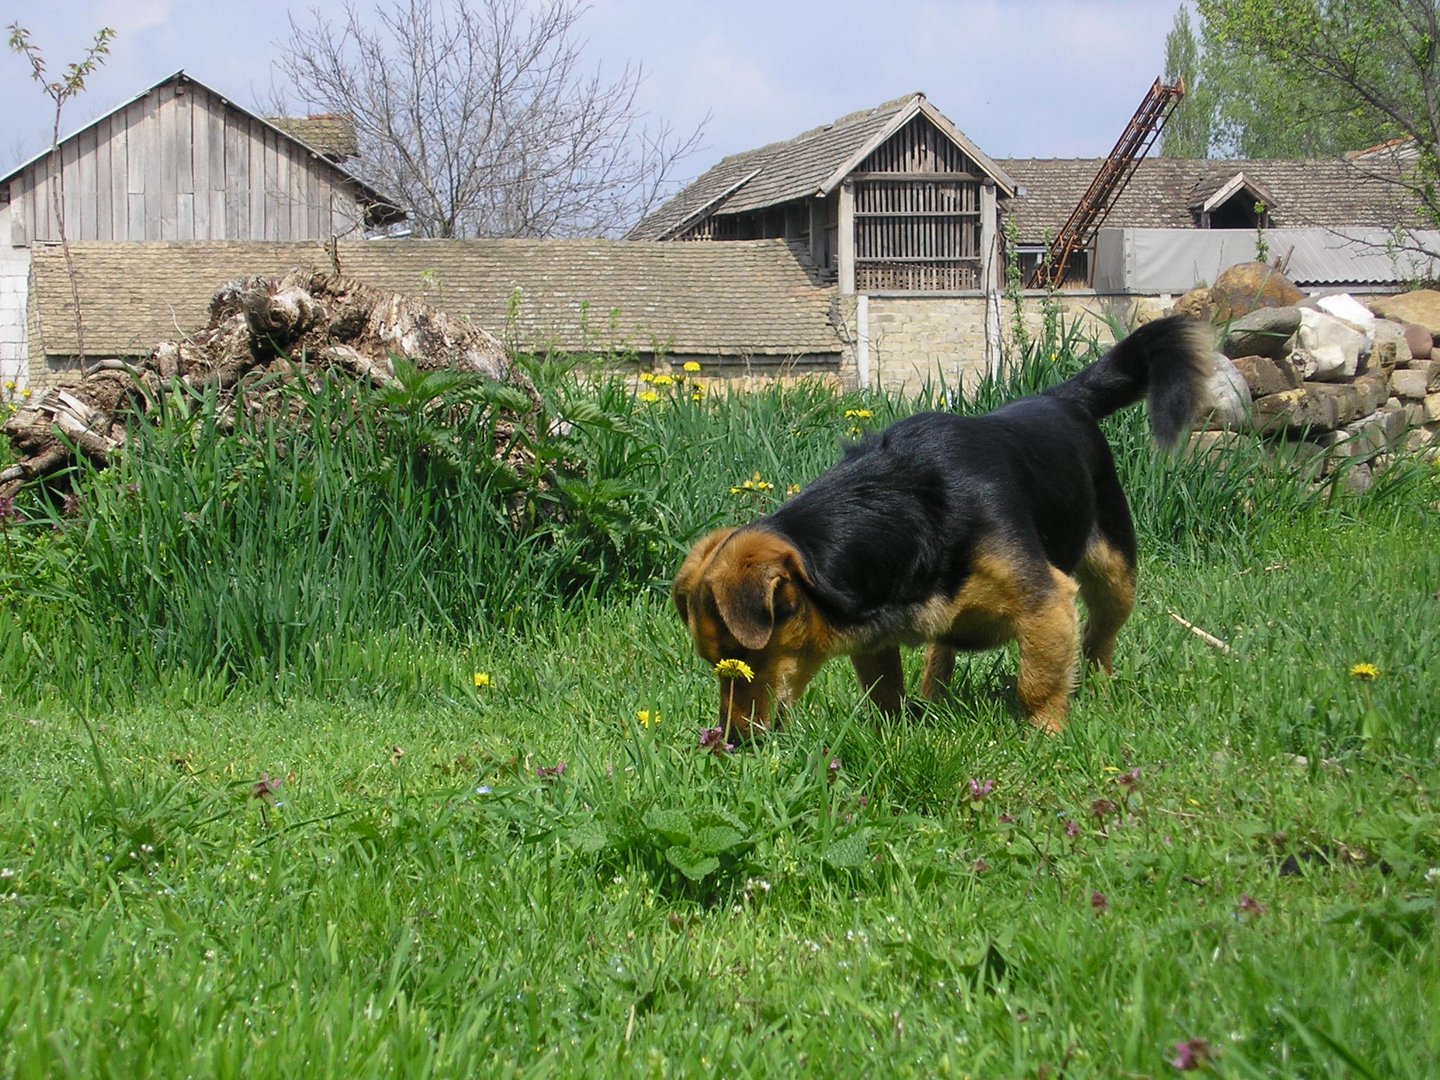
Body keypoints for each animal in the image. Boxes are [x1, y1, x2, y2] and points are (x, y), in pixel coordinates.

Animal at [673, 312, 1215, 737]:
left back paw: (1098, 688)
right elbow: (884, 691)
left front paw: (1046, 735)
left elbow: (1037, 681)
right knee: (940, 654)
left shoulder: (1045, 601)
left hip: (1114, 570)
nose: (732, 741)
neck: (901, 511)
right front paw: (894, 736)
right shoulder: (876, 634)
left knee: (1101, 635)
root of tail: (1062, 399)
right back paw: (934, 696)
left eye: (740, 660)